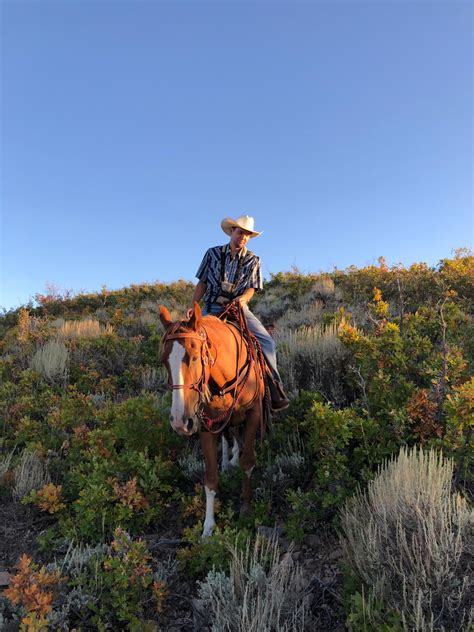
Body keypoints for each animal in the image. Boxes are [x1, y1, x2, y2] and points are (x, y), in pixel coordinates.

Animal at [159, 304, 266, 536]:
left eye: (195, 356)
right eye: (163, 361)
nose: (179, 422)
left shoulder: (253, 415)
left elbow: (247, 462)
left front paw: (246, 508)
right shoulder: (205, 425)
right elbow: (210, 478)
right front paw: (208, 527)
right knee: (228, 436)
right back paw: (228, 461)